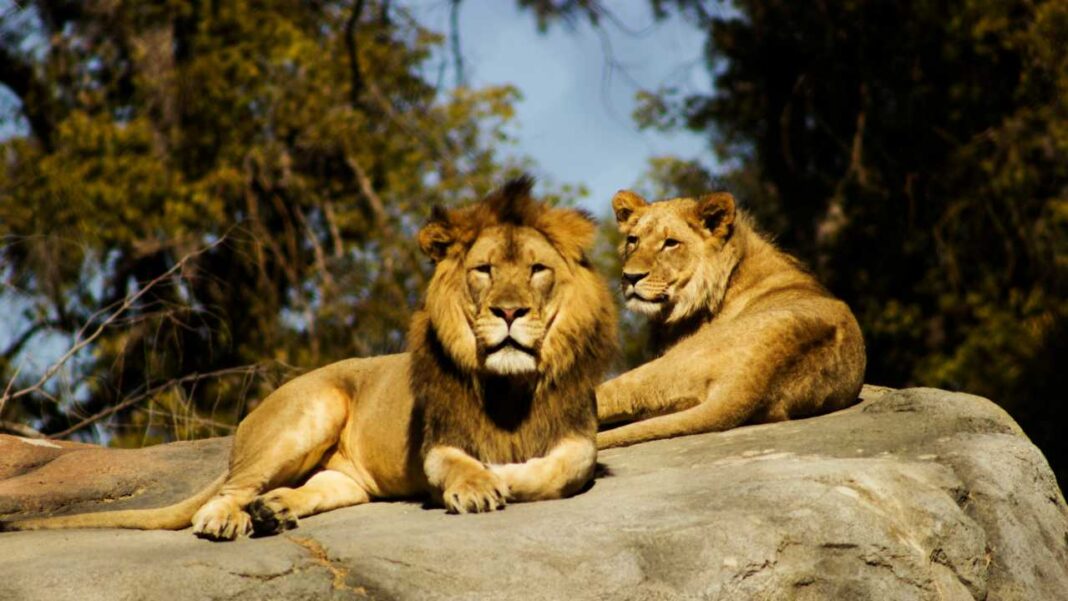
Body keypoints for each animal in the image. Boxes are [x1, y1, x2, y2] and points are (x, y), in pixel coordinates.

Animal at [3, 177, 617, 540]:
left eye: (537, 270)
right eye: (484, 270)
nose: (509, 311)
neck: (511, 385)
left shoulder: (578, 435)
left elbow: (563, 467)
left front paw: (507, 474)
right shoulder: (437, 441)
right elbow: (459, 463)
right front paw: (481, 483)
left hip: (346, 478)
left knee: (312, 488)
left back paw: (273, 510)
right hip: (309, 414)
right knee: (225, 493)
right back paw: (228, 519)